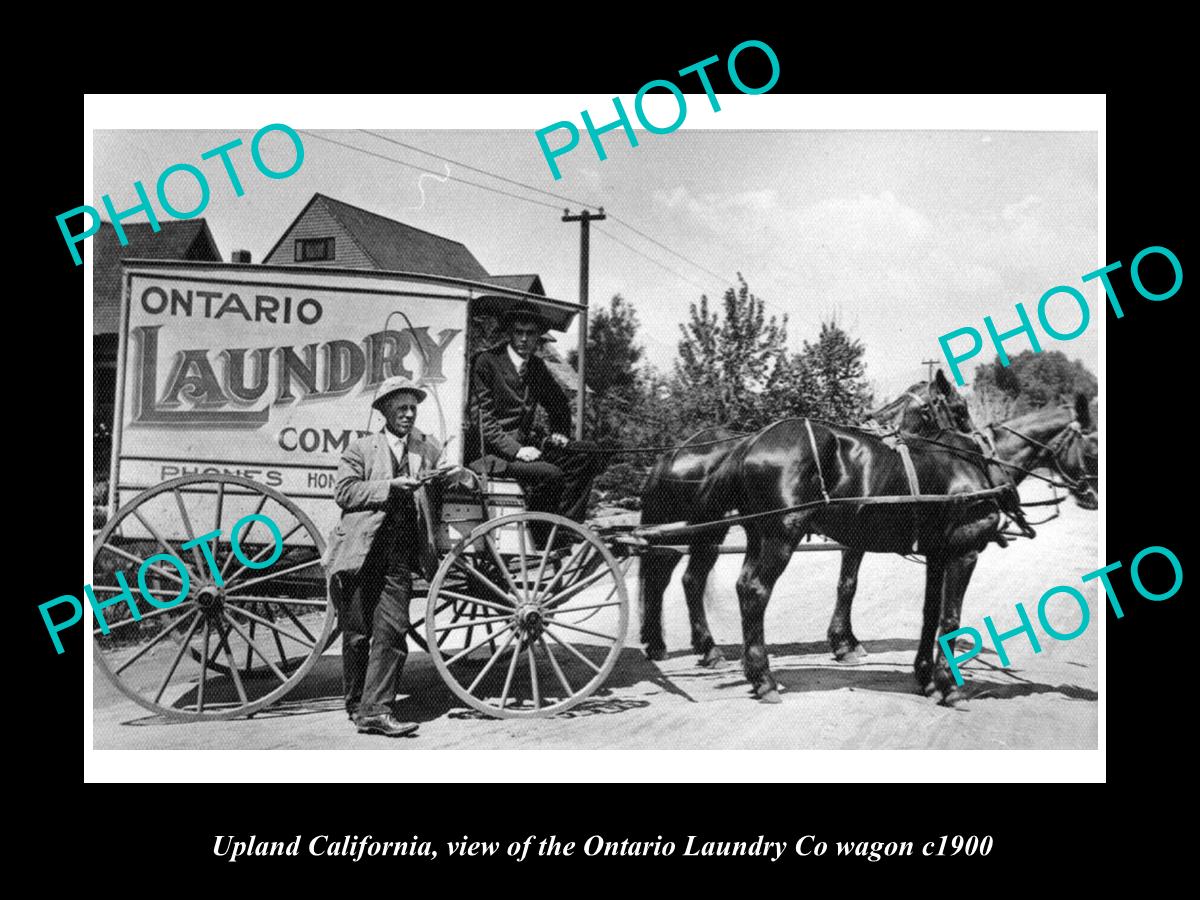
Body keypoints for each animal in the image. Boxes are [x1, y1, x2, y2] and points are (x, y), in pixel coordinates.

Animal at [633, 369, 979, 696]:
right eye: (960, 409)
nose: (977, 445)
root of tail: (672, 455)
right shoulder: (854, 540)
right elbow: (848, 585)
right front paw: (845, 643)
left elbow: (846, 585)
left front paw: (843, 641)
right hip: (711, 533)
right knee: (687, 580)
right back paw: (714, 654)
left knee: (671, 579)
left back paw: (667, 645)